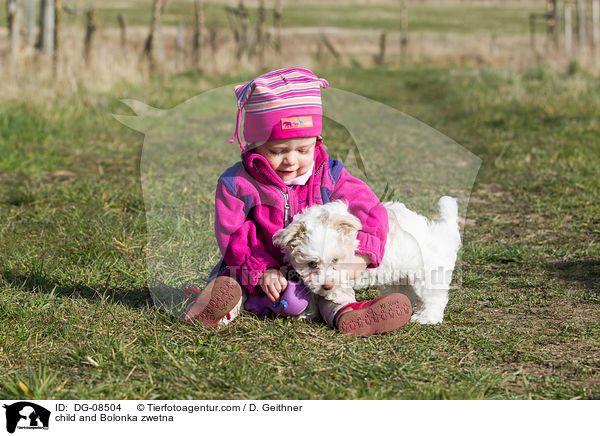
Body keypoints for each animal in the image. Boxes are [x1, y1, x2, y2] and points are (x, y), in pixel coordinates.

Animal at [274, 198, 462, 324]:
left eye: (335, 259)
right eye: (312, 264)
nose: (326, 285)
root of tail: (437, 234)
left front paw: (339, 296)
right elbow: (311, 290)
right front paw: (308, 313)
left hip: (427, 273)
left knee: (433, 297)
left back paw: (427, 317)